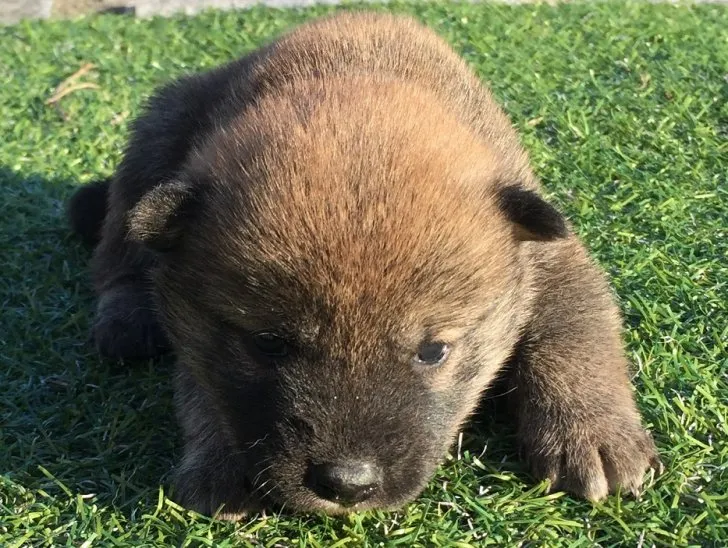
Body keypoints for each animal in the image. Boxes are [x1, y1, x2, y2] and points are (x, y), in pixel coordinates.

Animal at [67, 12, 660, 520]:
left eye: (433, 351)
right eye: (268, 343)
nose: (347, 484)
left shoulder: (551, 256)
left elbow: (574, 331)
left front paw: (593, 434)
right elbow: (205, 385)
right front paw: (220, 461)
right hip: (157, 132)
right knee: (117, 250)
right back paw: (126, 317)